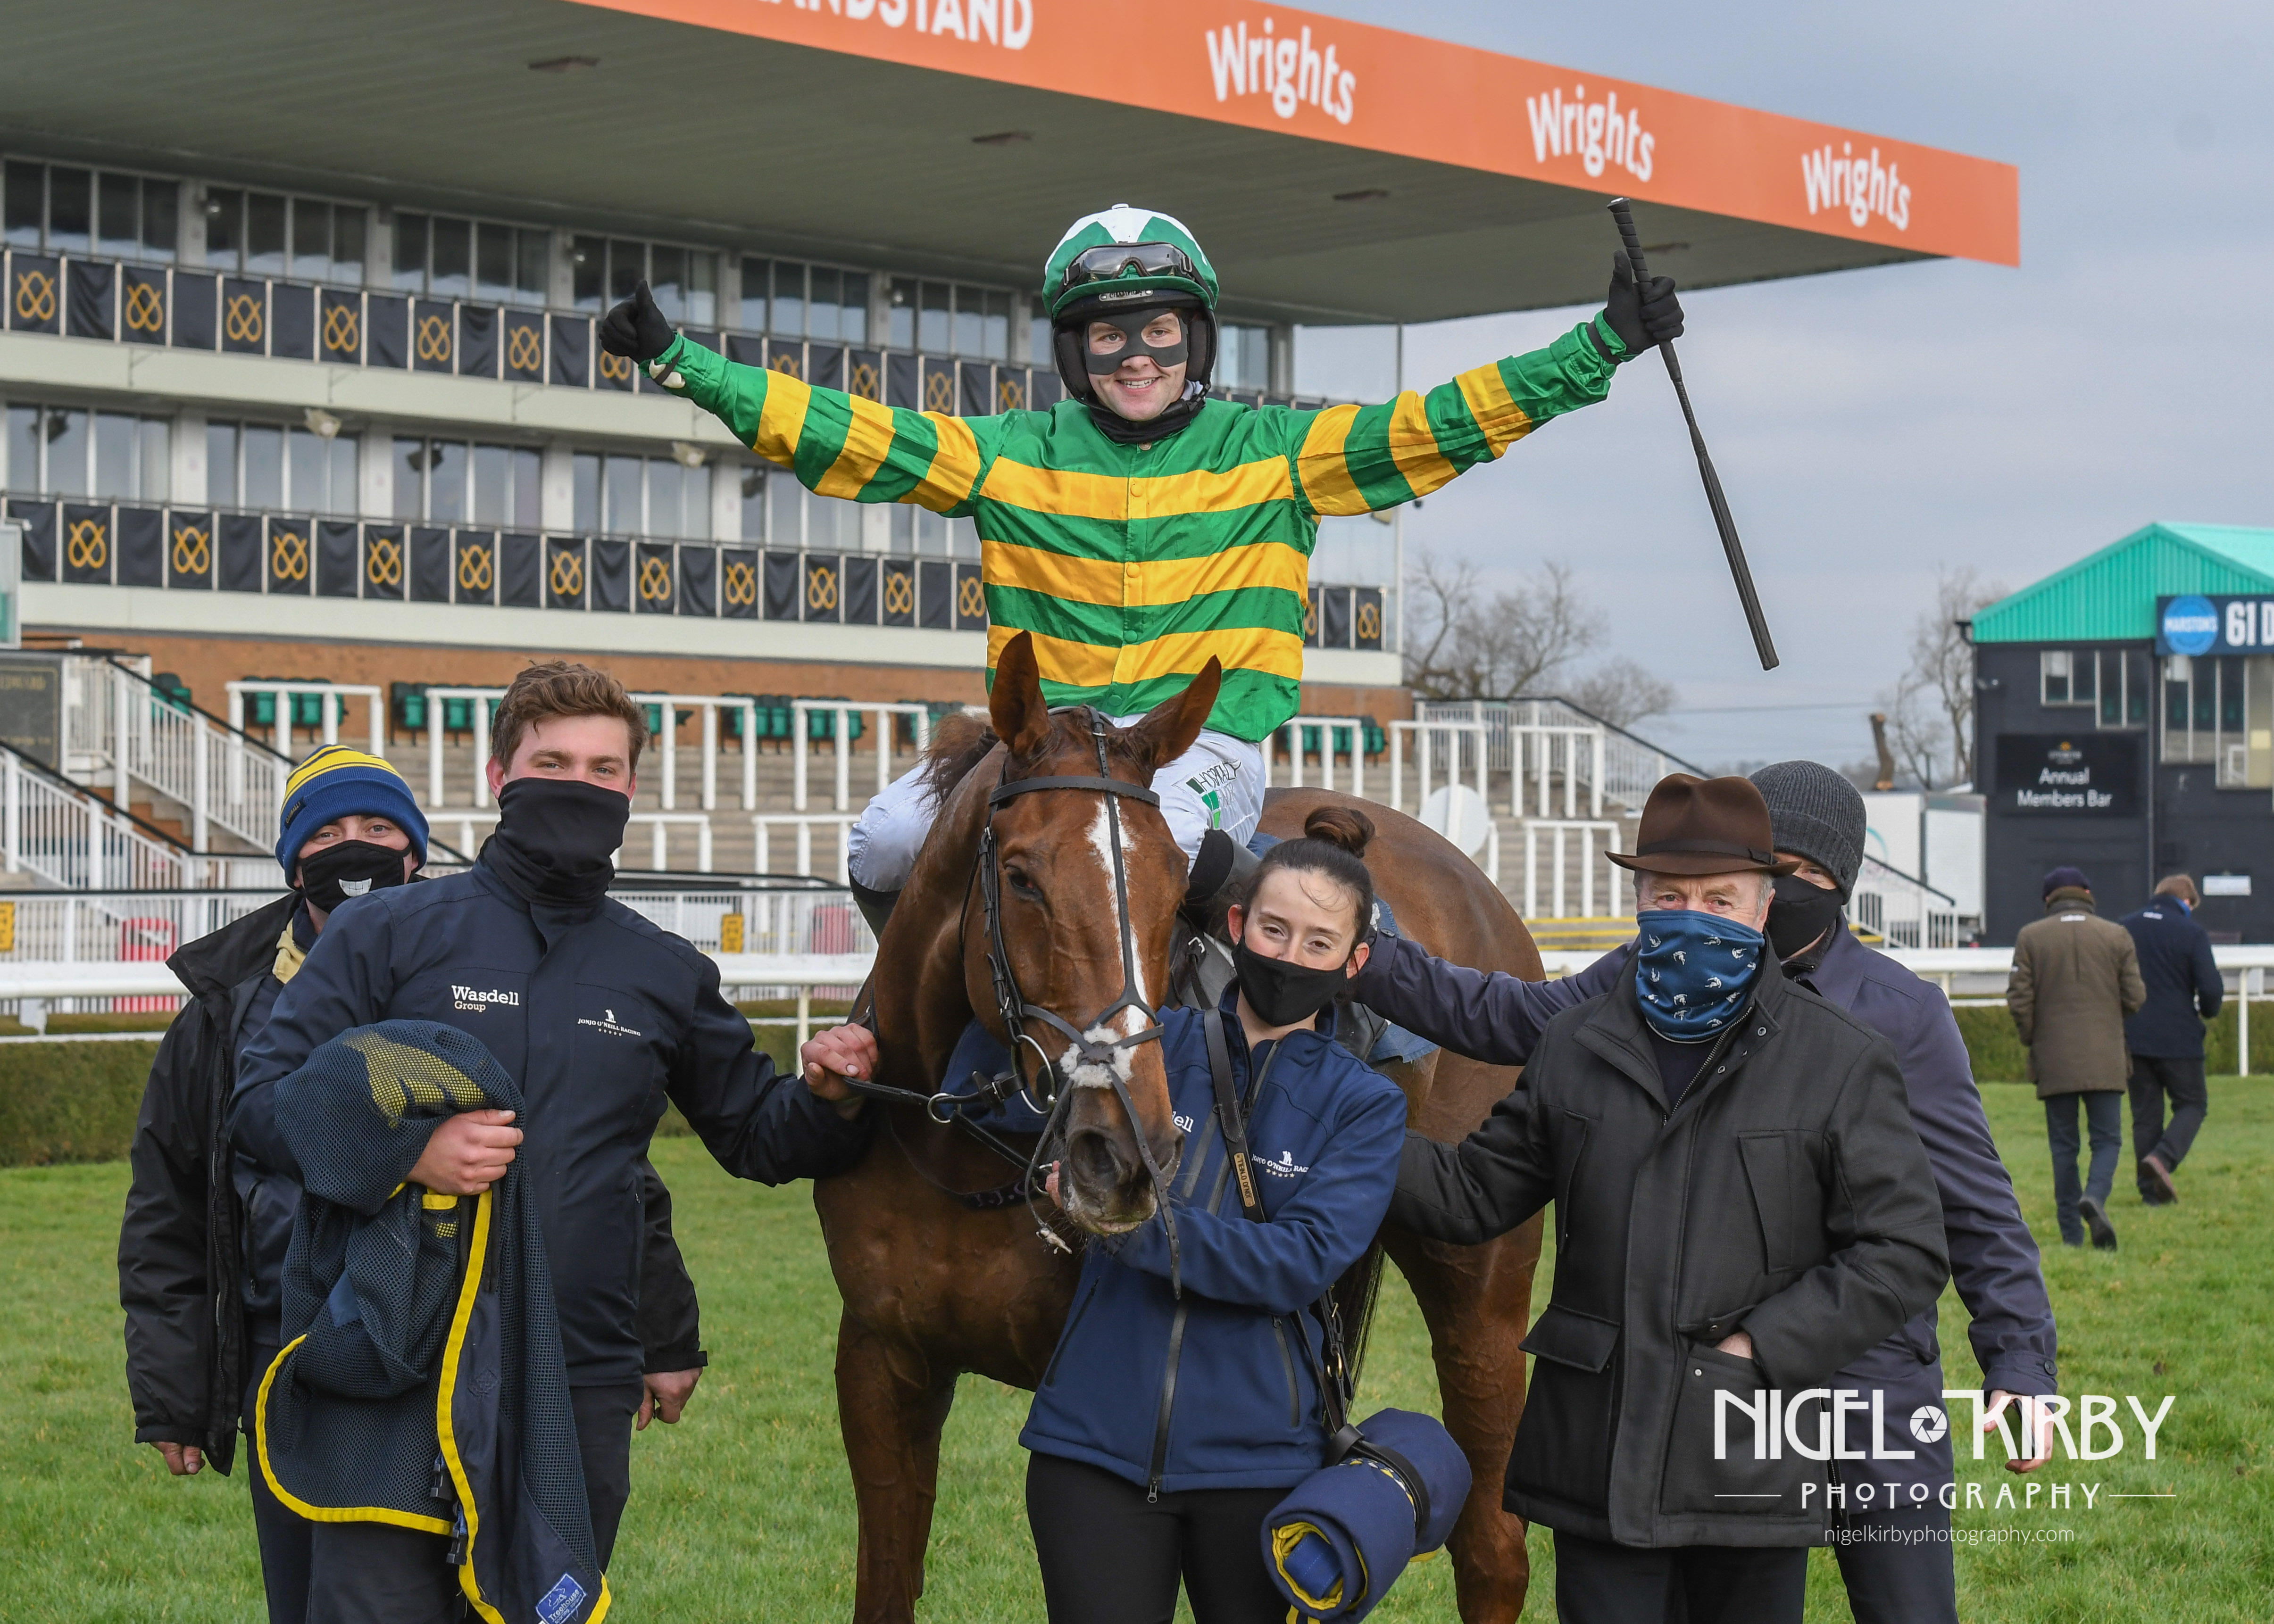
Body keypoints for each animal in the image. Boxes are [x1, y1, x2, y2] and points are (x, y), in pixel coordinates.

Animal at [818, 637, 1546, 1619]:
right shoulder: (882, 1362)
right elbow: (886, 1577)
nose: (1122, 1154)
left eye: (1176, 889)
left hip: (1483, 1298)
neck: (959, 1131)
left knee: (1491, 1546)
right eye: (1021, 877)